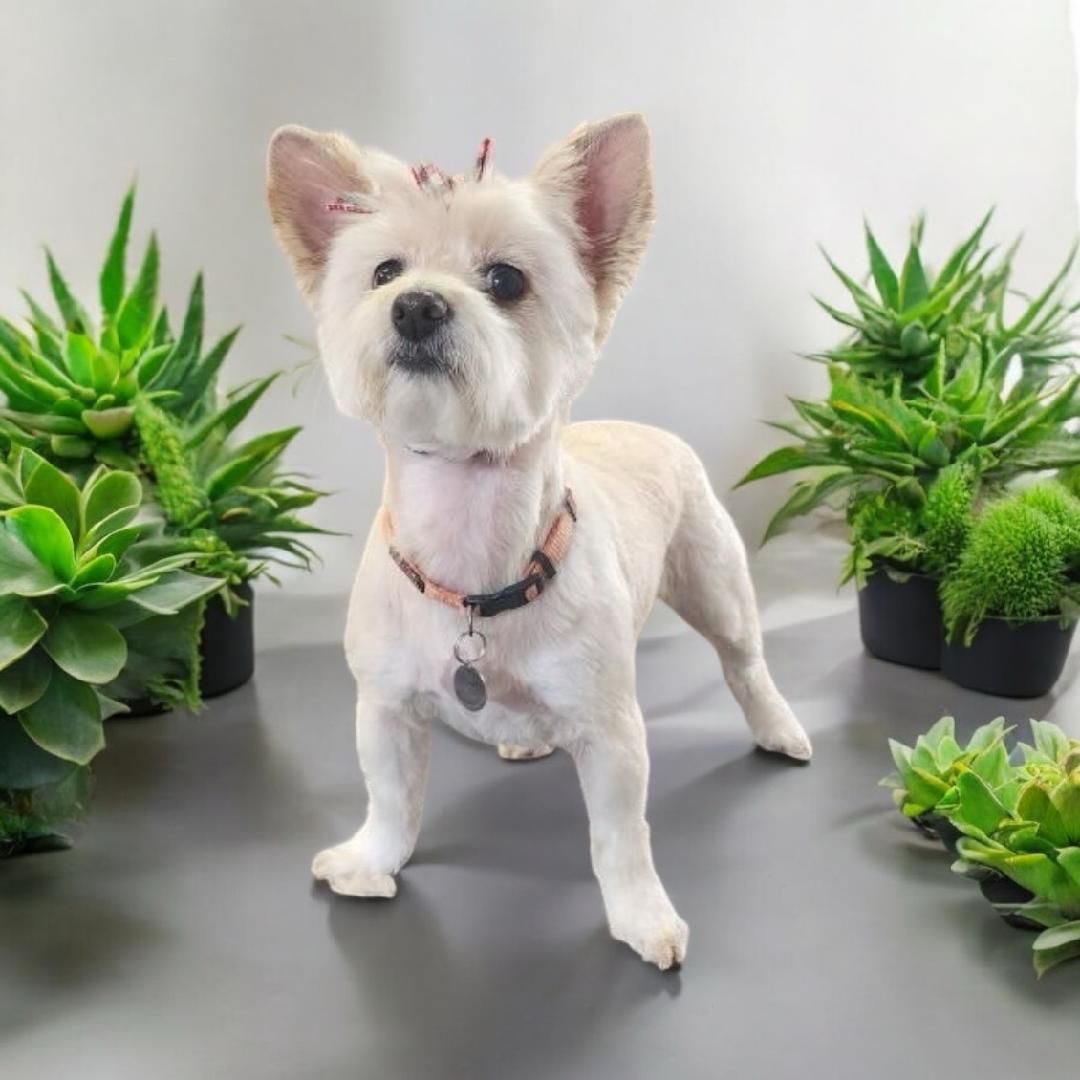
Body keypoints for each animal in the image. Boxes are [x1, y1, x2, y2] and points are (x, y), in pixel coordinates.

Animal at [267, 113, 812, 967]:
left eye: (504, 281)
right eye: (384, 271)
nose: (416, 306)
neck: (469, 559)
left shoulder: (610, 729)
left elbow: (620, 837)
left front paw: (640, 915)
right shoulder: (384, 708)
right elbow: (390, 798)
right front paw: (370, 860)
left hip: (718, 586)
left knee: (745, 665)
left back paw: (779, 727)